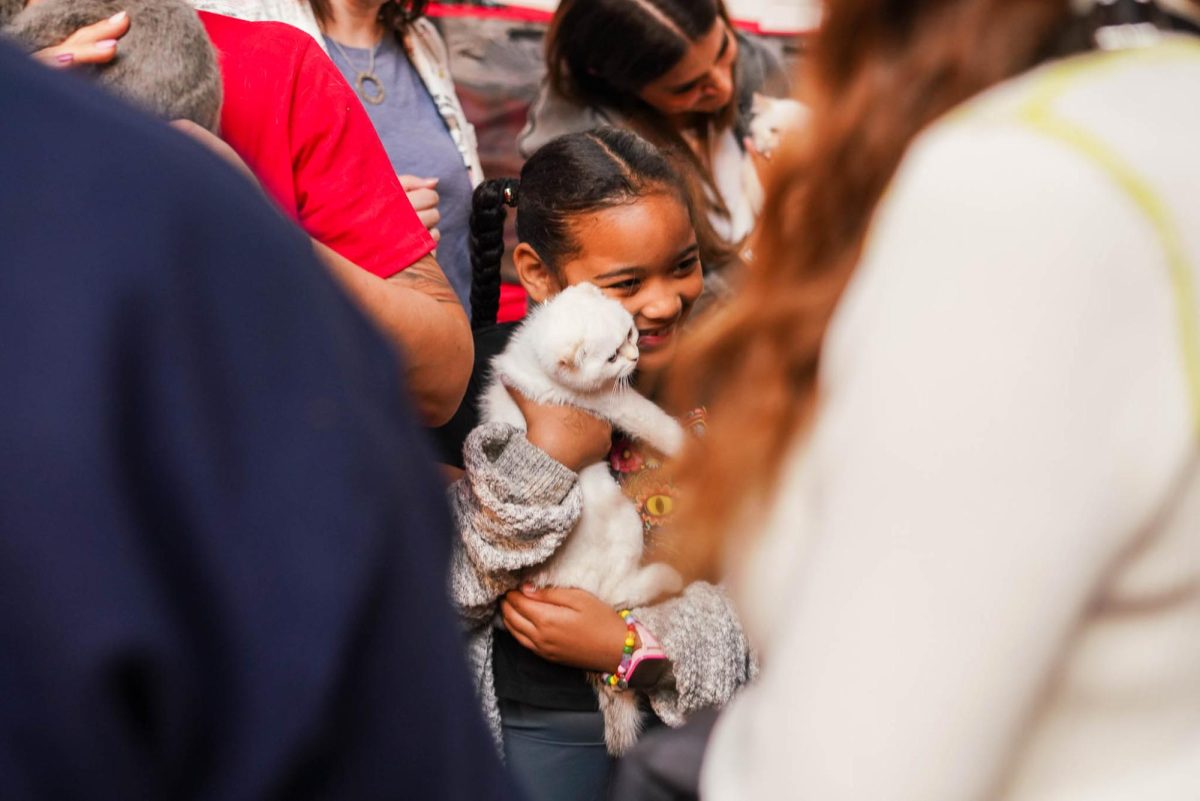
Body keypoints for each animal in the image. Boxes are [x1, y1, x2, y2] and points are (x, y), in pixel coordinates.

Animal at [477, 284, 686, 753]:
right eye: (610, 358)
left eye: (630, 334)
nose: (633, 357)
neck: (535, 362)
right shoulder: (611, 401)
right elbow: (655, 422)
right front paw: (690, 445)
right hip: (624, 525)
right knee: (621, 594)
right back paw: (665, 577)